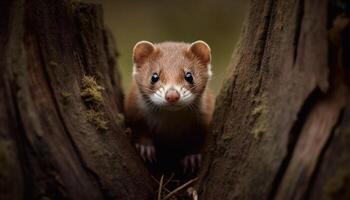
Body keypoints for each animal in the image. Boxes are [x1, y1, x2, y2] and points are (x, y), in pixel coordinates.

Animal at [124, 40, 215, 172]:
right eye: (154, 76)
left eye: (189, 76)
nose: (172, 95)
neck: (170, 125)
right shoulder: (134, 111)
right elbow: (140, 129)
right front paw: (145, 148)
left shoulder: (205, 117)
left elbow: (197, 140)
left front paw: (192, 157)